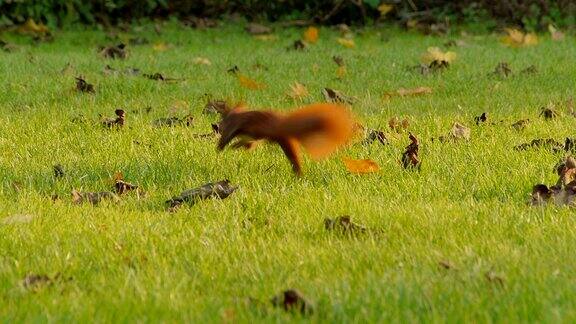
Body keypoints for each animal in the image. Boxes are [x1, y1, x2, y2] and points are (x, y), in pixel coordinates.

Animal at [218, 103, 356, 175]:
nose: (218, 126)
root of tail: (280, 126)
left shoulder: (233, 126)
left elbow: (227, 136)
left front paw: (221, 146)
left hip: (262, 131)